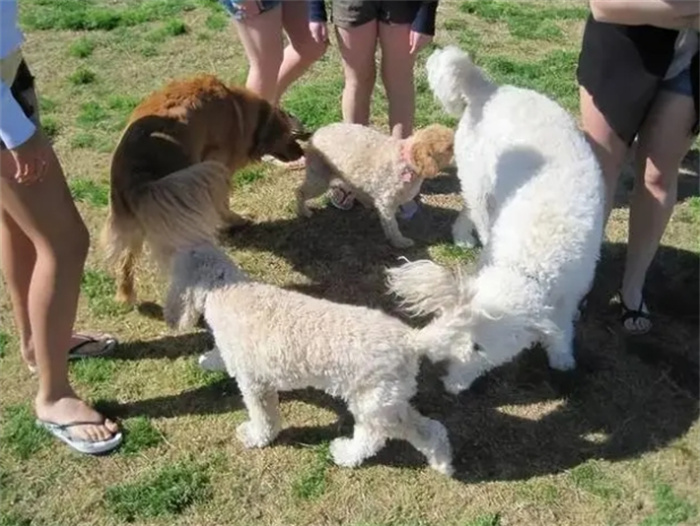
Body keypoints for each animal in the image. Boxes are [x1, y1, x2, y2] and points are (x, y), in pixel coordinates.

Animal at [101, 73, 304, 306]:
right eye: (290, 135)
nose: (302, 151)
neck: (239, 109)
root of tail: (138, 172)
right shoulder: (218, 167)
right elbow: (223, 204)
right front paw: (235, 221)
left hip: (130, 219)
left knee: (125, 259)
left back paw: (125, 294)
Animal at [161, 243, 462, 478]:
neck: (226, 289)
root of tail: (411, 339)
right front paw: (208, 360)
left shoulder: (255, 385)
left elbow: (264, 418)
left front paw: (257, 437)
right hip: (388, 403)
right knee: (428, 428)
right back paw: (443, 462)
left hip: (372, 406)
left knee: (376, 437)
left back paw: (347, 454)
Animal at [296, 122, 454, 249]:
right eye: (449, 147)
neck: (406, 161)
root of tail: (316, 133)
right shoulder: (386, 203)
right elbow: (392, 225)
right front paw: (399, 242)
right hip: (319, 178)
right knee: (299, 191)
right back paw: (304, 211)